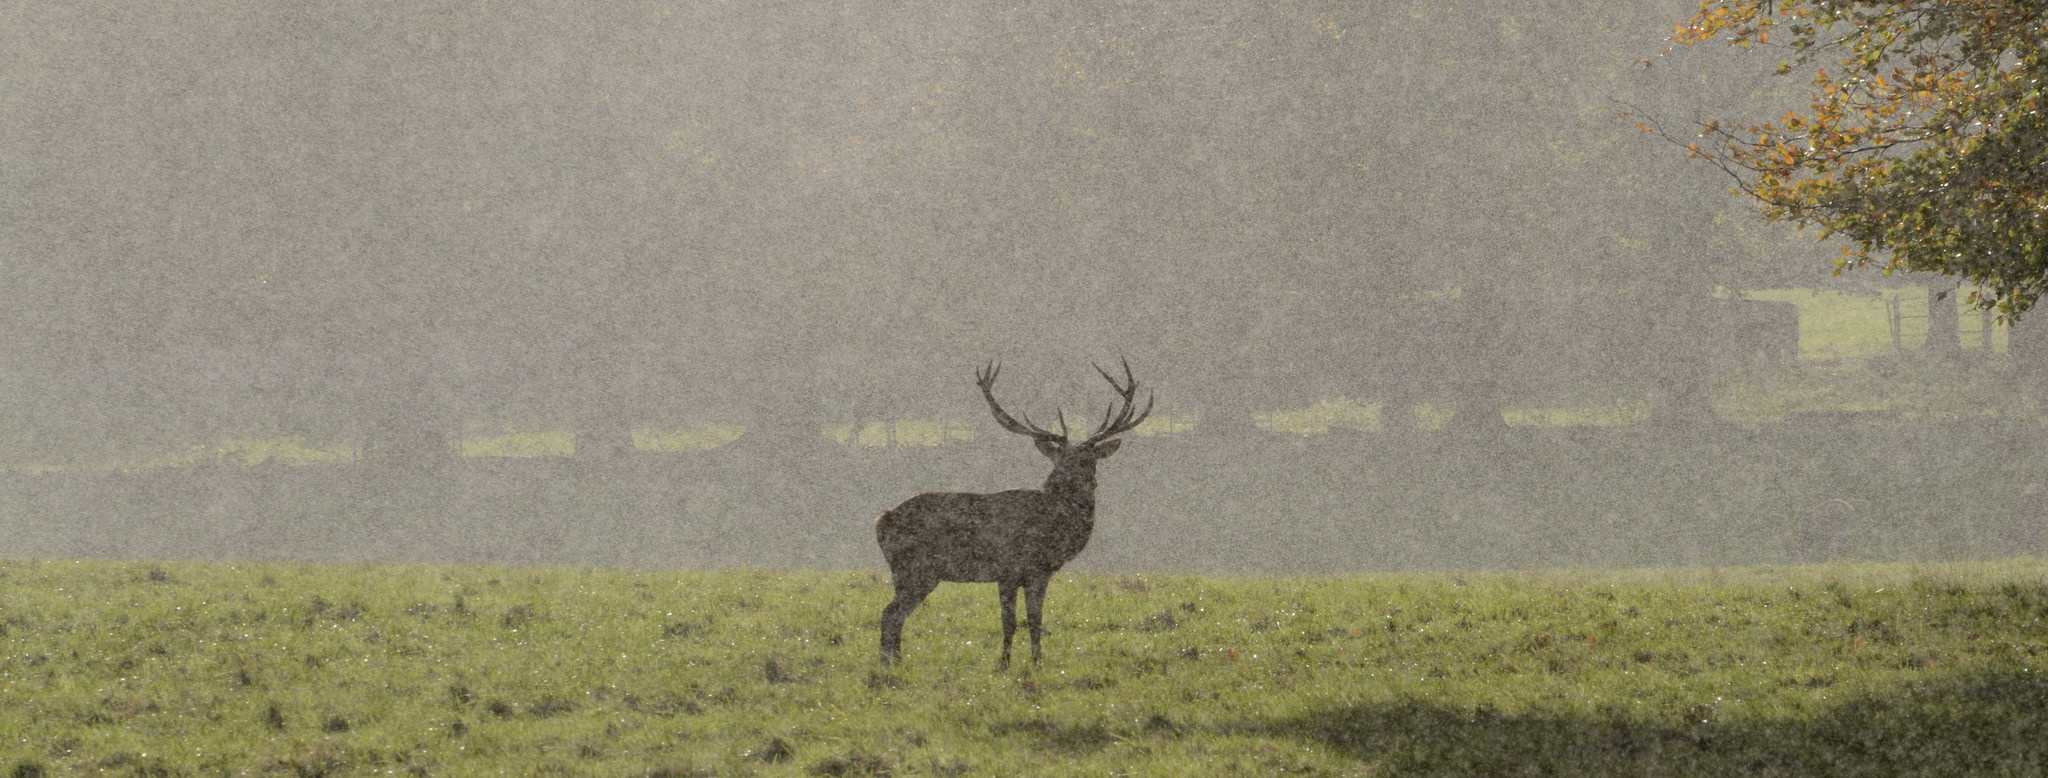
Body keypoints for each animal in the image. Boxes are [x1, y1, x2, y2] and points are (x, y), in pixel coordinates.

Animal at [868, 358, 1146, 667]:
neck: (1053, 529)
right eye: (1062, 459)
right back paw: (890, 664)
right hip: (916, 569)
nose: (1076, 481)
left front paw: (1036, 663)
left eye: (1090, 460)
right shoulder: (1009, 569)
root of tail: (882, 520)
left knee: (894, 614)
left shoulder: (1039, 574)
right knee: (890, 613)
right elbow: (1009, 621)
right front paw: (1003, 664)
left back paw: (894, 662)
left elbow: (1035, 620)